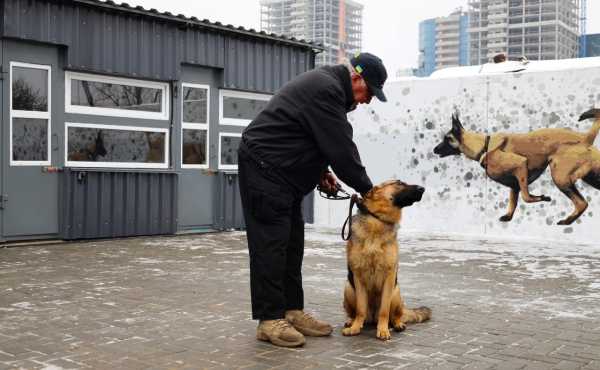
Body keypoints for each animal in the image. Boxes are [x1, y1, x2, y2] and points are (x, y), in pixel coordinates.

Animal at [342, 181, 432, 340]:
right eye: (399, 183)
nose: (422, 188)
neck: (378, 219)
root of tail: (372, 318)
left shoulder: (389, 277)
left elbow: (384, 310)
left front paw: (383, 330)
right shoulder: (358, 276)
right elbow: (360, 309)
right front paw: (355, 328)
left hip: (396, 293)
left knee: (395, 315)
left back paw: (397, 324)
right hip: (349, 288)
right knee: (357, 313)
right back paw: (352, 321)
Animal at [434, 109, 600, 225]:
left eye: (447, 139)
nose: (434, 150)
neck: (483, 146)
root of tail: (584, 138)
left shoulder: (520, 165)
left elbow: (526, 197)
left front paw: (541, 197)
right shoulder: (514, 185)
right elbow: (514, 201)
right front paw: (509, 216)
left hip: (560, 177)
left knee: (582, 203)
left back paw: (567, 221)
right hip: (591, 177)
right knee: (583, 202)